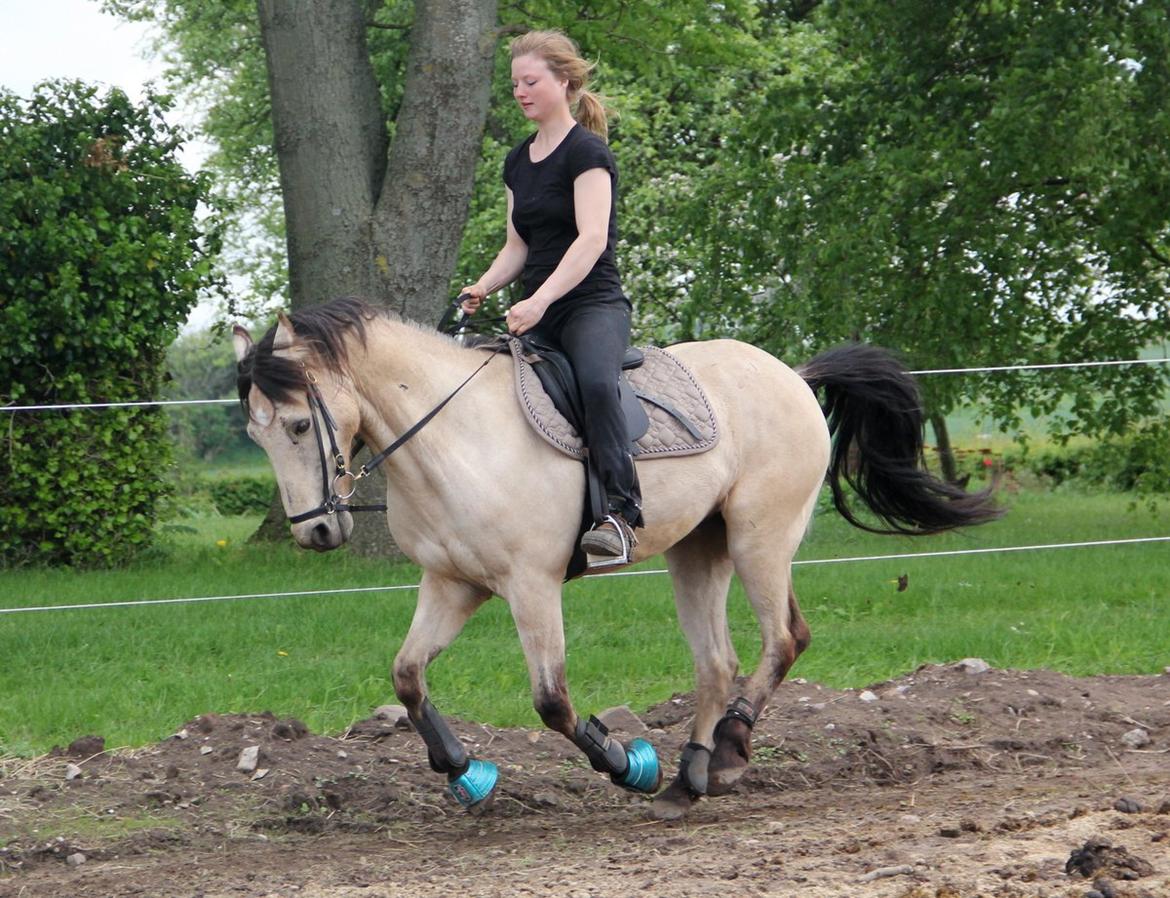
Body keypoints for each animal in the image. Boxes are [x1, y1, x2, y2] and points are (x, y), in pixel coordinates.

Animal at [232, 296, 1001, 823]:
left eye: (298, 424)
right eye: (256, 433)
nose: (315, 533)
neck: (452, 437)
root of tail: (791, 372)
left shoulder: (531, 586)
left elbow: (551, 700)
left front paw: (627, 763)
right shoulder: (453, 584)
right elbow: (407, 677)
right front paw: (465, 772)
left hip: (760, 539)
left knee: (784, 639)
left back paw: (725, 754)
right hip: (700, 549)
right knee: (718, 662)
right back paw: (689, 780)